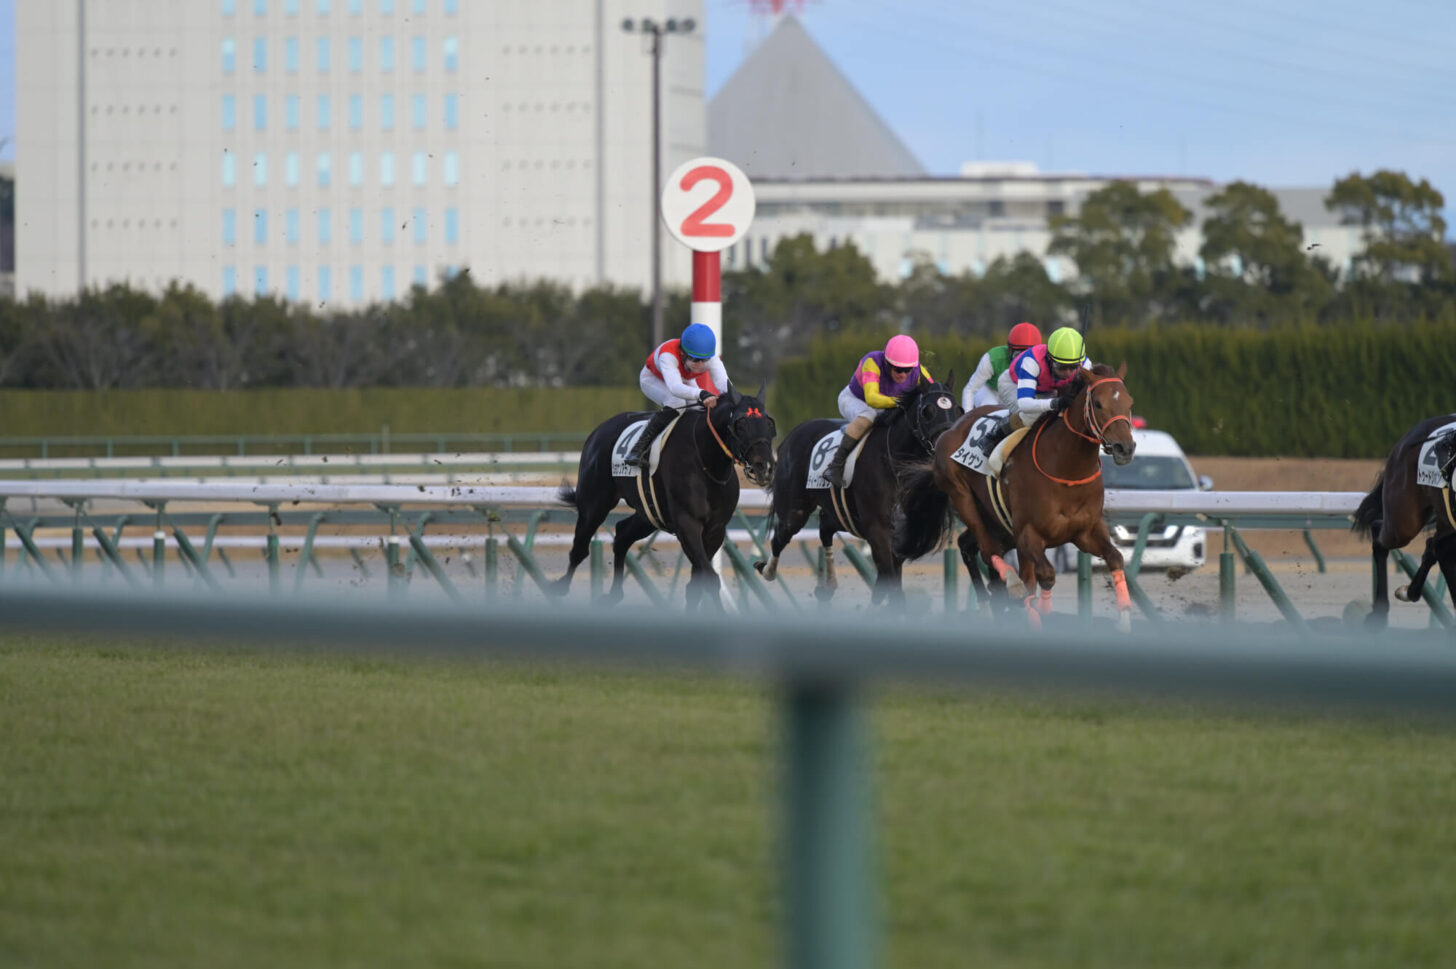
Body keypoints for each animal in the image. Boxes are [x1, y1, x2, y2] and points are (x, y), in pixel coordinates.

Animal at [547, 381, 774, 608]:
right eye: (740, 424)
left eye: (769, 423)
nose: (765, 468)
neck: (707, 462)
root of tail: (598, 431)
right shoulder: (687, 524)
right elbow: (709, 578)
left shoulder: (715, 529)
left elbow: (697, 582)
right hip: (594, 503)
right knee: (580, 547)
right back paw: (560, 587)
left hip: (649, 514)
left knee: (621, 534)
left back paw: (614, 595)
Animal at [757, 371, 960, 605]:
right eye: (927, 411)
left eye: (958, 409)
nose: (946, 448)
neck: (894, 463)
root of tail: (791, 436)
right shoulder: (878, 530)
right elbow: (890, 584)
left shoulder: (900, 536)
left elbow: (886, 584)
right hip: (794, 510)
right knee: (781, 537)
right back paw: (767, 570)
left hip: (840, 513)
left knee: (825, 528)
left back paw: (827, 585)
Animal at [896, 362, 1135, 625]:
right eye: (1098, 404)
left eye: (1129, 403)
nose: (1125, 448)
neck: (1066, 470)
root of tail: (950, 429)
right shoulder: (1028, 534)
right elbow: (1046, 576)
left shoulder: (1086, 532)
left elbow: (1115, 558)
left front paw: (1125, 620)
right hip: (964, 498)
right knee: (990, 552)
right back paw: (1009, 585)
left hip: (998, 523)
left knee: (968, 545)